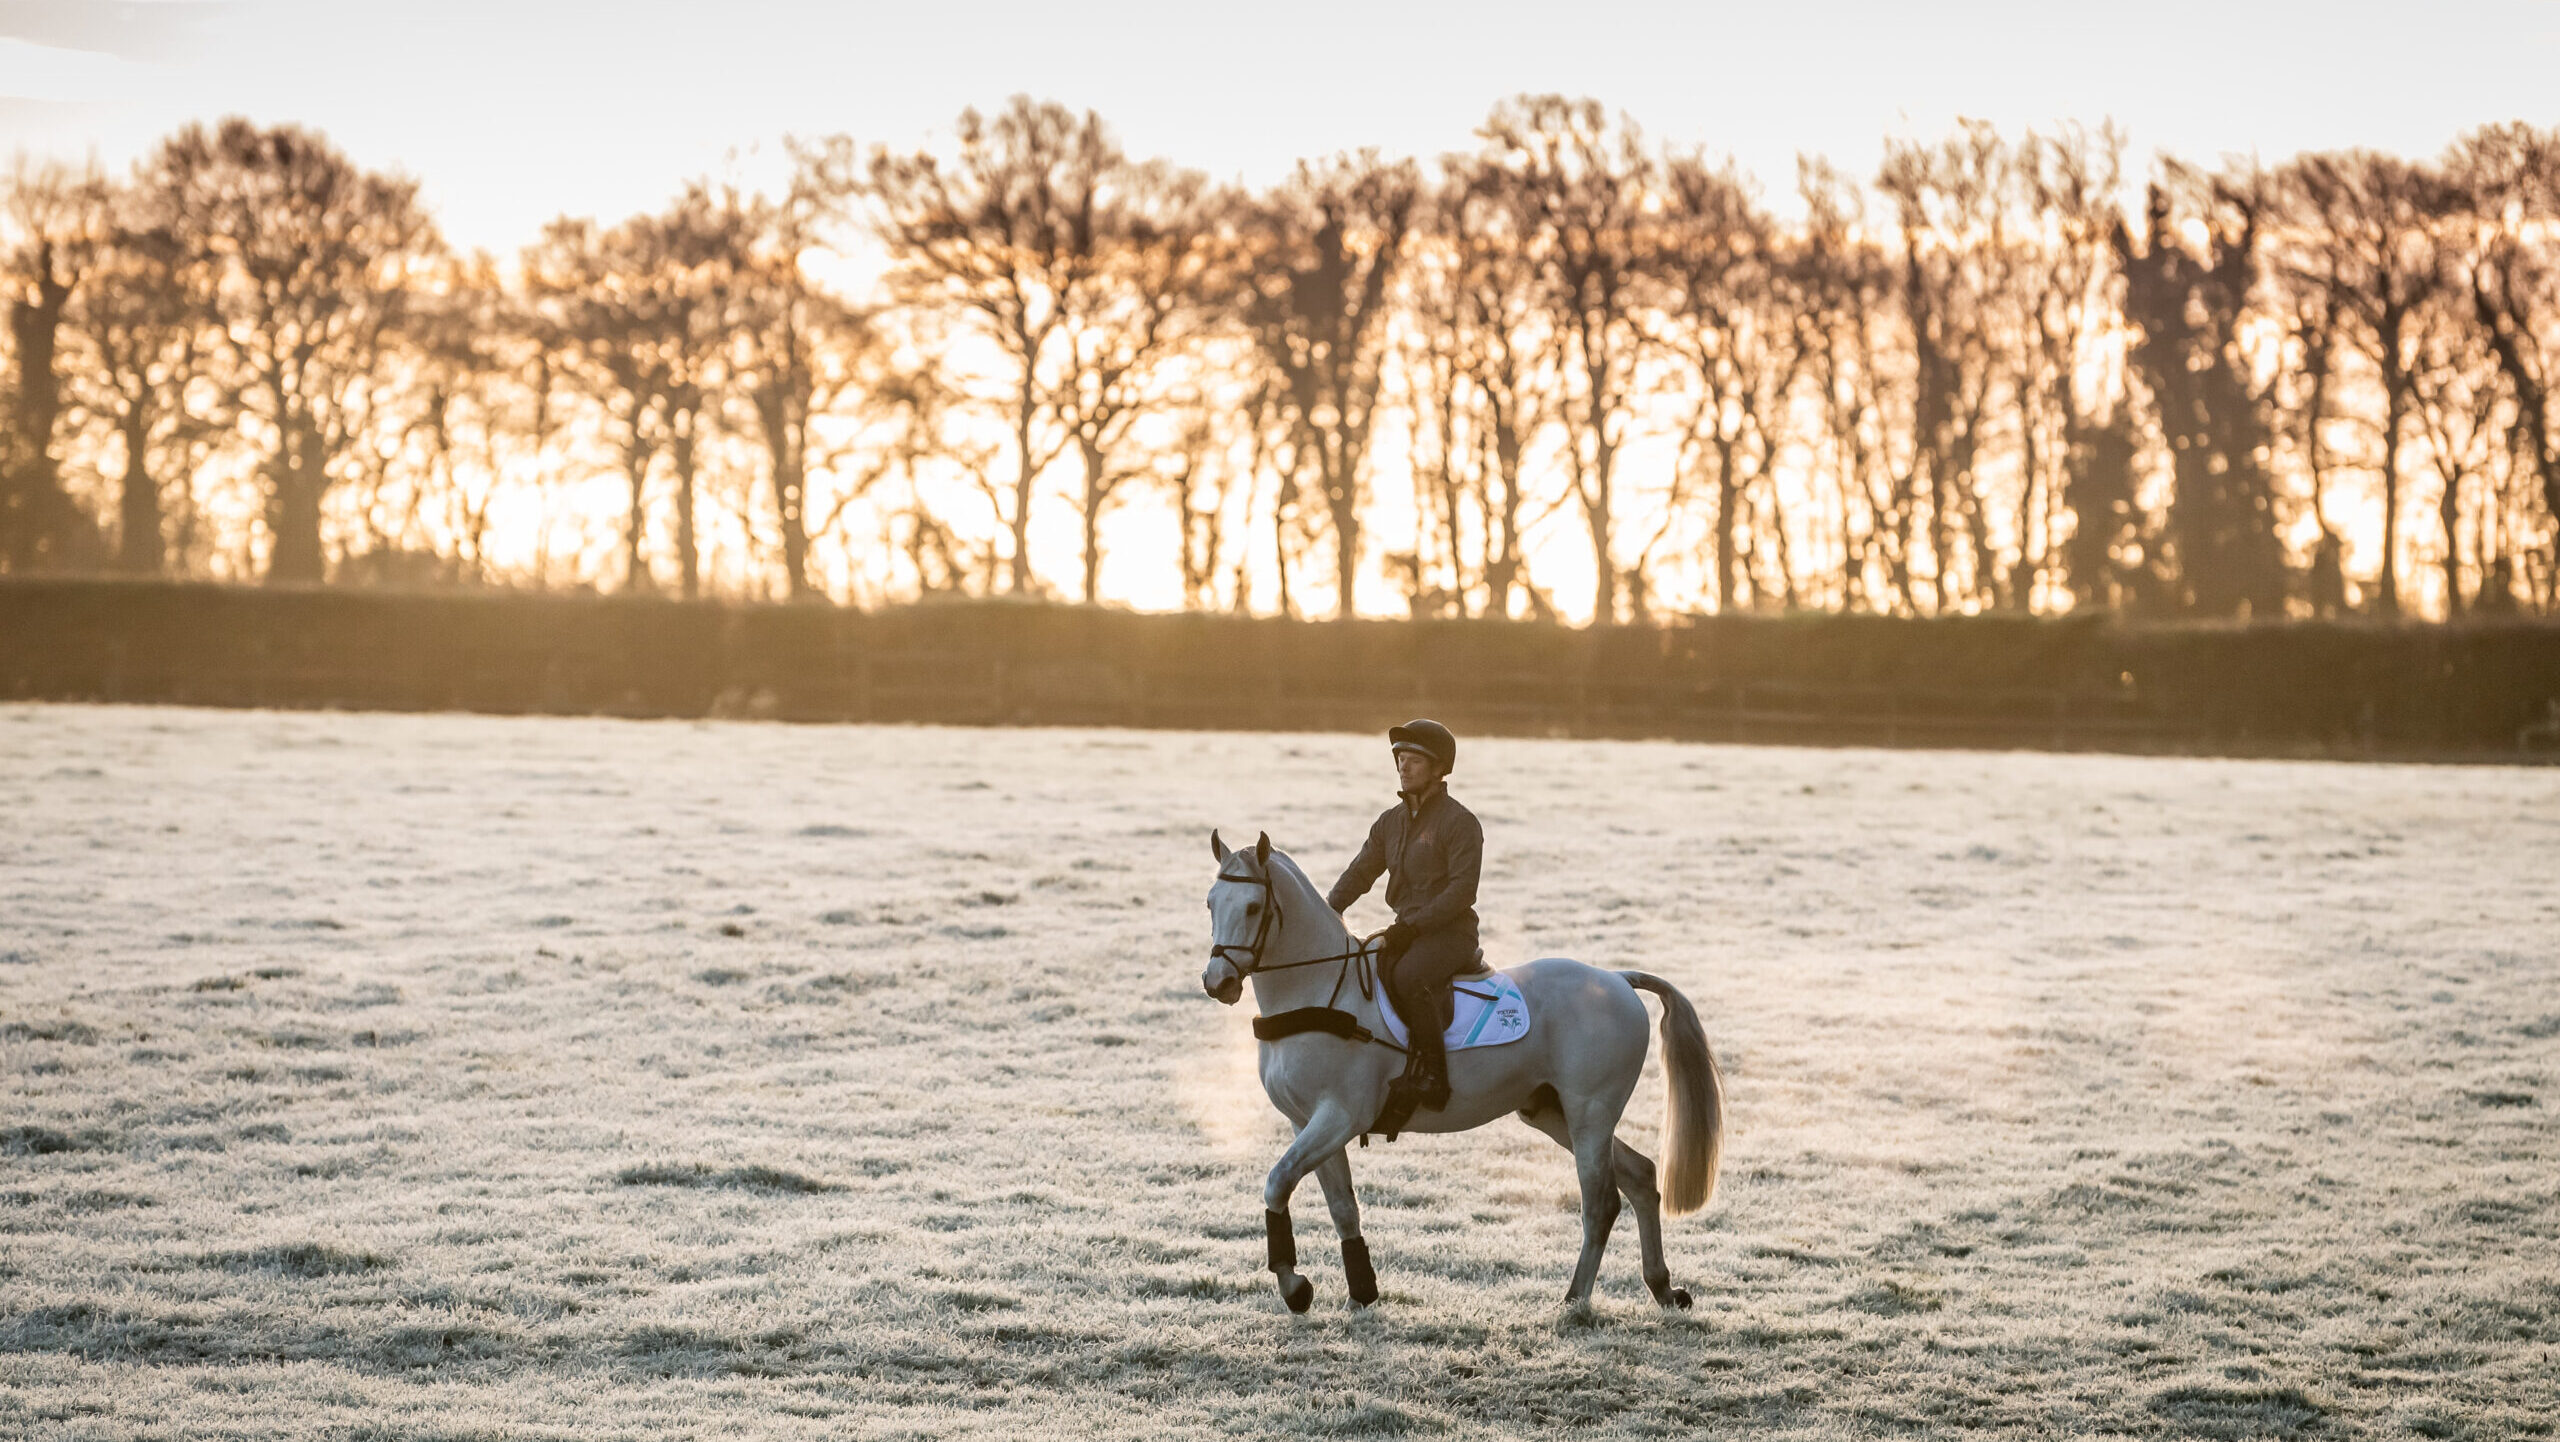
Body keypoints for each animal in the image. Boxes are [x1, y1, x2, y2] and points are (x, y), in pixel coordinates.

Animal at [1200, 830, 1725, 1313]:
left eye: (1253, 907)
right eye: (1210, 903)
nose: (1216, 982)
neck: (1319, 990)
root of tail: (1617, 979)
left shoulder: (1339, 1117)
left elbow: (1278, 1182)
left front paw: (1295, 1287)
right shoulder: (1306, 1121)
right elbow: (1342, 1206)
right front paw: (1361, 1293)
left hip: (1589, 1113)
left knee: (1601, 1203)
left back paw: (1575, 1302)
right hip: (1553, 1112)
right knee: (1640, 1176)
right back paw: (1662, 1288)